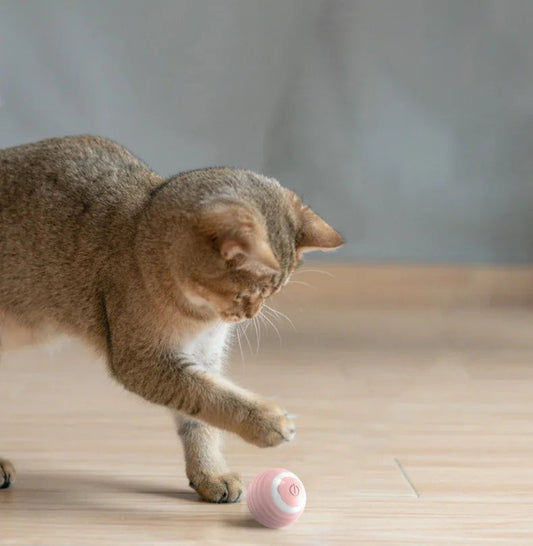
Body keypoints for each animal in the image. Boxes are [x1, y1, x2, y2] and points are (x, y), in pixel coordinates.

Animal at [0, 136, 342, 502]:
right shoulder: (143, 360)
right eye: (245, 294)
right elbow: (211, 396)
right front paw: (266, 422)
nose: (250, 315)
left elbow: (201, 419)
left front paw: (210, 474)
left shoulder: (203, 355)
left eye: (272, 294)